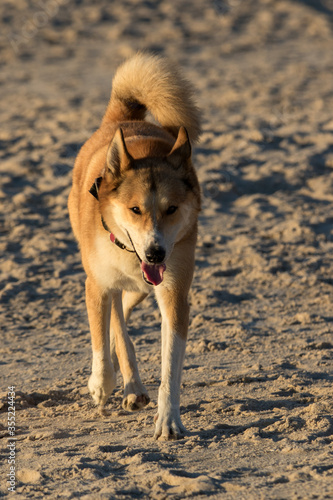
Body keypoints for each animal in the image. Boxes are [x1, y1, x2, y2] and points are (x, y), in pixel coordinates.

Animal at [68, 52, 200, 440]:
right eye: (135, 209)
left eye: (172, 209)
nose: (156, 253)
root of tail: (122, 119)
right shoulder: (96, 285)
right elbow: (101, 338)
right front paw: (100, 383)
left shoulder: (173, 293)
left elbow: (170, 366)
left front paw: (168, 420)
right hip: (109, 280)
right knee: (116, 322)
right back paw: (122, 383)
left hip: (143, 289)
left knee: (122, 316)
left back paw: (133, 386)